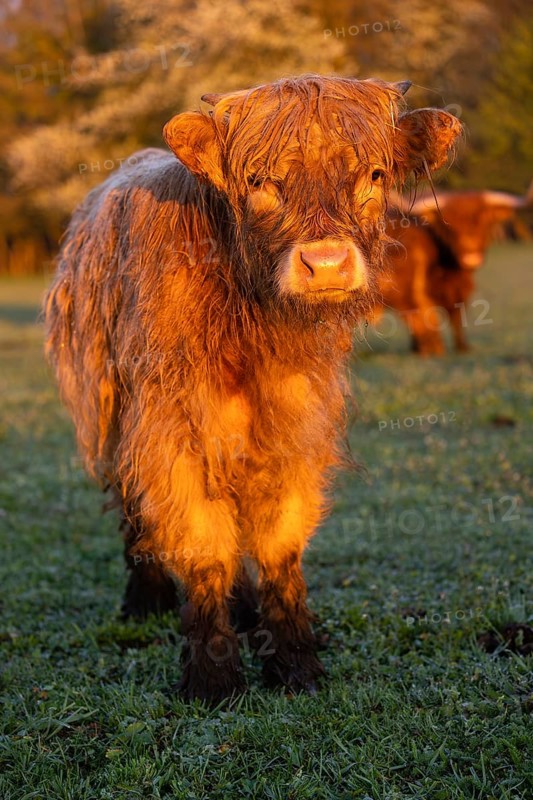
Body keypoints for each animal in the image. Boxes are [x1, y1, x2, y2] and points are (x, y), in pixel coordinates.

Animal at [44, 75, 461, 702]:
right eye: (259, 180)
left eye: (374, 174)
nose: (326, 264)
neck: (251, 326)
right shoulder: (172, 431)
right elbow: (202, 544)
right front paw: (213, 678)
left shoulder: (297, 422)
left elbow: (279, 544)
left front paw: (295, 663)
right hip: (109, 411)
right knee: (132, 505)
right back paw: (144, 600)